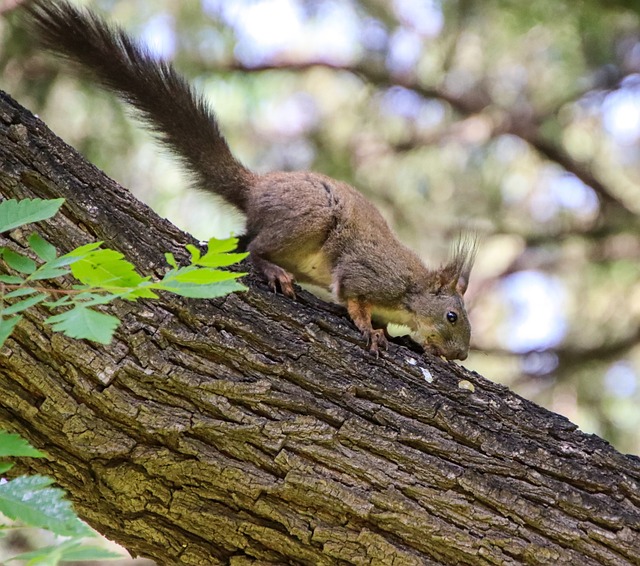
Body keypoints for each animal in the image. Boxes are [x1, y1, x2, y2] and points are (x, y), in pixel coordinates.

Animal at [23, 0, 476, 362]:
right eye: (452, 315)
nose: (461, 355)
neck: (411, 290)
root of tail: (257, 187)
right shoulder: (368, 274)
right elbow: (353, 297)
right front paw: (370, 330)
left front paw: (389, 333)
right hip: (310, 217)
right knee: (257, 247)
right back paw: (271, 269)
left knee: (242, 240)